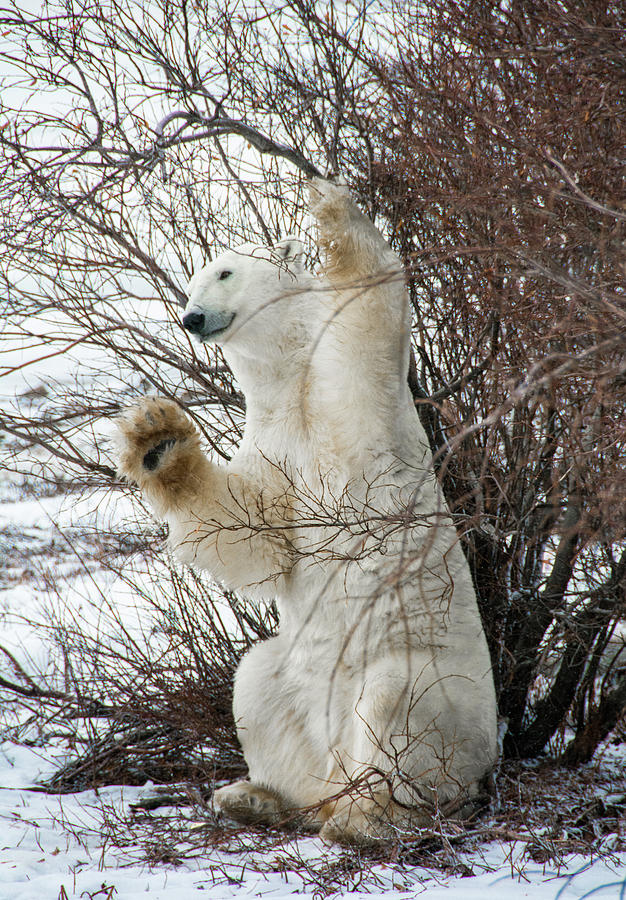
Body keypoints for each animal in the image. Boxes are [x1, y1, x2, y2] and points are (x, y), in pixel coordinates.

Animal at [113, 179, 498, 848]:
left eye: (225, 271)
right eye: (189, 284)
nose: (192, 317)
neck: (293, 377)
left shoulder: (350, 384)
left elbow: (375, 299)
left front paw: (330, 207)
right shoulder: (274, 435)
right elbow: (255, 530)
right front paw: (156, 440)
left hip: (442, 692)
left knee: (397, 705)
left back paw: (370, 816)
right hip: (293, 687)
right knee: (255, 684)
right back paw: (256, 796)